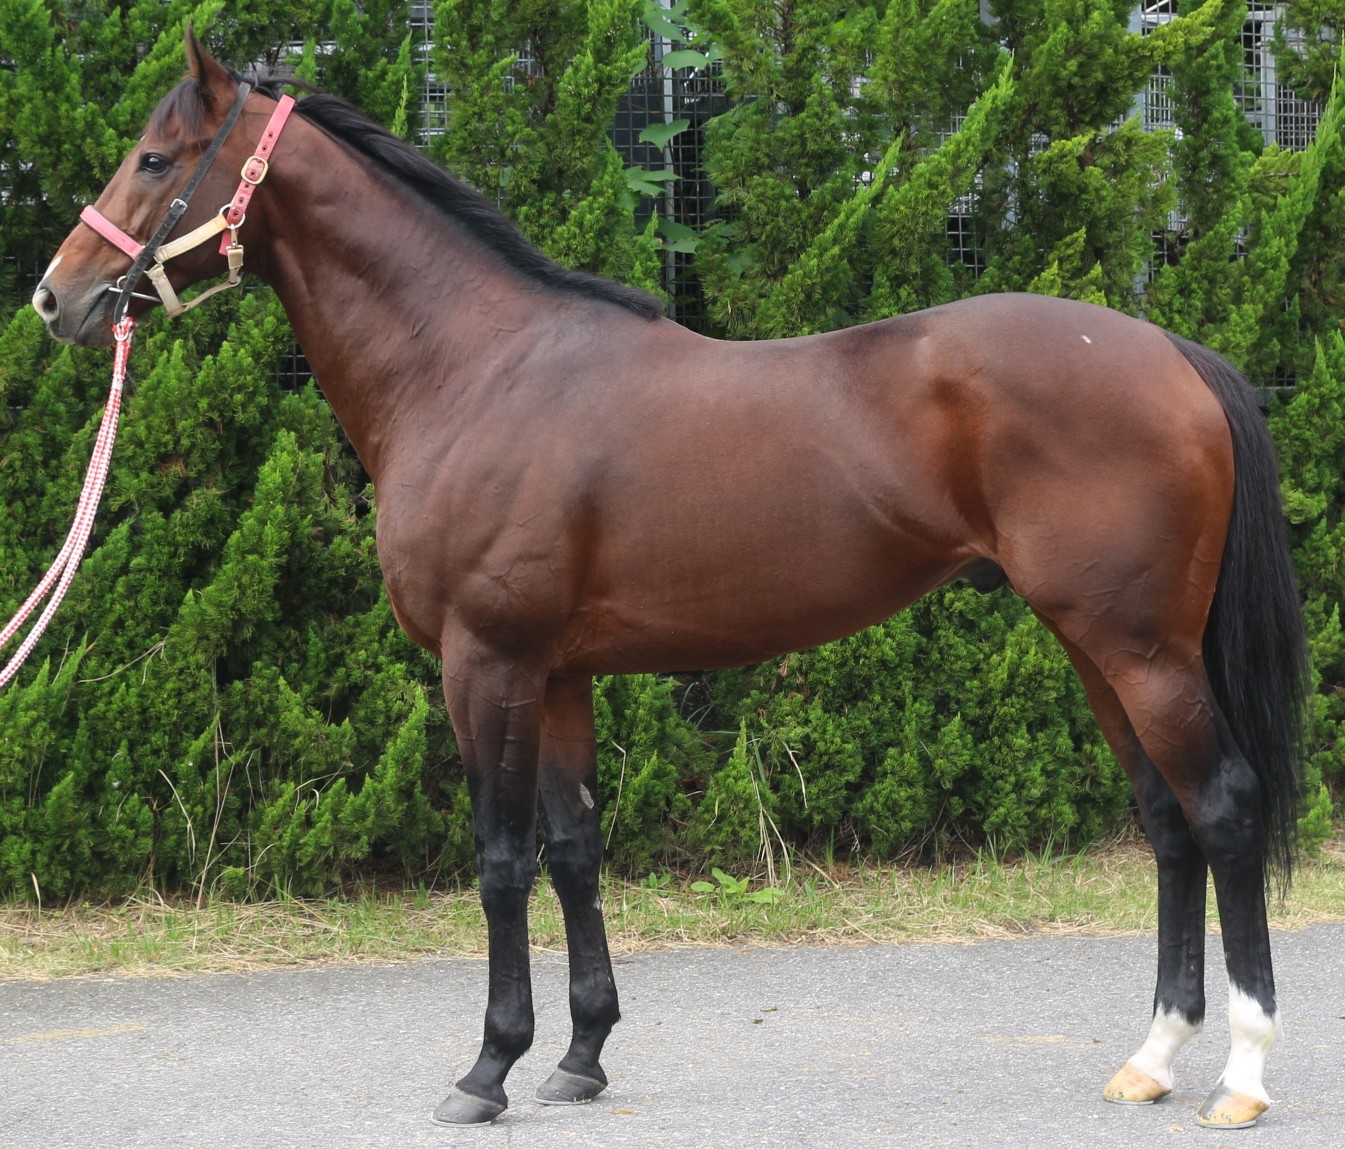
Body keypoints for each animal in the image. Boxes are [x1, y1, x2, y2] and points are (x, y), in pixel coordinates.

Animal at [32, 30, 1307, 1130]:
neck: (473, 369)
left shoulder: (484, 664)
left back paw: (1241, 1077)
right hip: (1097, 646)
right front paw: (582, 1055)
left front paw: (487, 1068)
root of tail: (1171, 353)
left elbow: (500, 863)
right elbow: (573, 849)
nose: (56, 296)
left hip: (1140, 650)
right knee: (1169, 824)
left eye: (155, 159)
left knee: (1223, 810)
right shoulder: (555, 675)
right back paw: (1150, 1059)